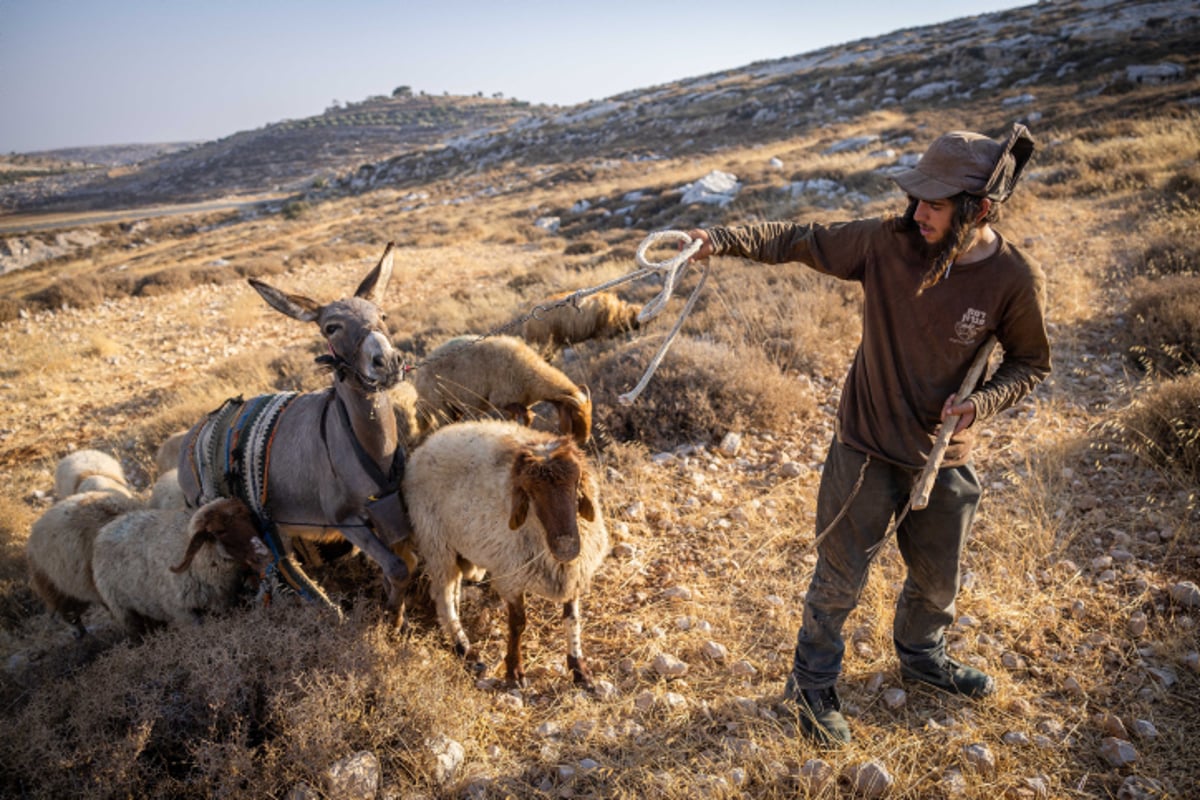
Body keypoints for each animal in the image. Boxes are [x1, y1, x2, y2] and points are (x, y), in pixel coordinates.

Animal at [94, 496, 272, 642]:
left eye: (248, 517)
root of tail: (106, 528)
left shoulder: (222, 603)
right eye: (219, 531)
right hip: (123, 611)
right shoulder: (182, 613)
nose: (264, 554)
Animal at [403, 419, 609, 690]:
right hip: (437, 544)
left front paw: (579, 670)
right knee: (443, 597)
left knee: (453, 591)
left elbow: (572, 619)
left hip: (454, 550)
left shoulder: (573, 574)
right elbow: (518, 624)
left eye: (575, 483)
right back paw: (465, 650)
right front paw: (514, 672)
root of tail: (427, 443)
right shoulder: (511, 578)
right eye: (530, 492)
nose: (566, 547)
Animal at [412, 331, 595, 443]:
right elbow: (529, 416)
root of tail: (418, 376)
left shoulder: (516, 403)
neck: (531, 374)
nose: (584, 440)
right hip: (439, 405)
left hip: (454, 407)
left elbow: (521, 417)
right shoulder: (501, 400)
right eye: (576, 415)